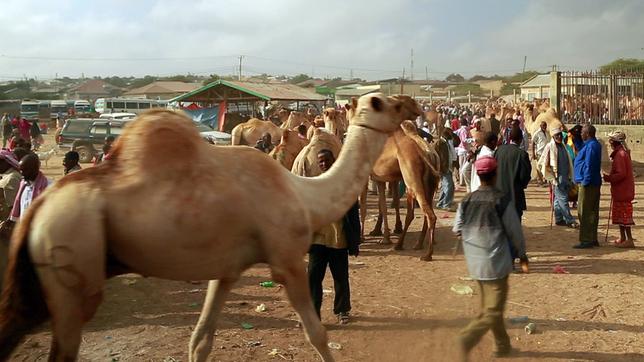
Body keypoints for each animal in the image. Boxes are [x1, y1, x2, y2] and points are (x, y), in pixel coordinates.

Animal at [0, 94, 410, 362]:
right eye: (391, 103)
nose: (416, 109)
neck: (304, 193)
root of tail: (39, 210)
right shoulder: (287, 259)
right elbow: (317, 335)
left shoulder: (226, 270)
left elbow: (200, 341)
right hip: (73, 259)